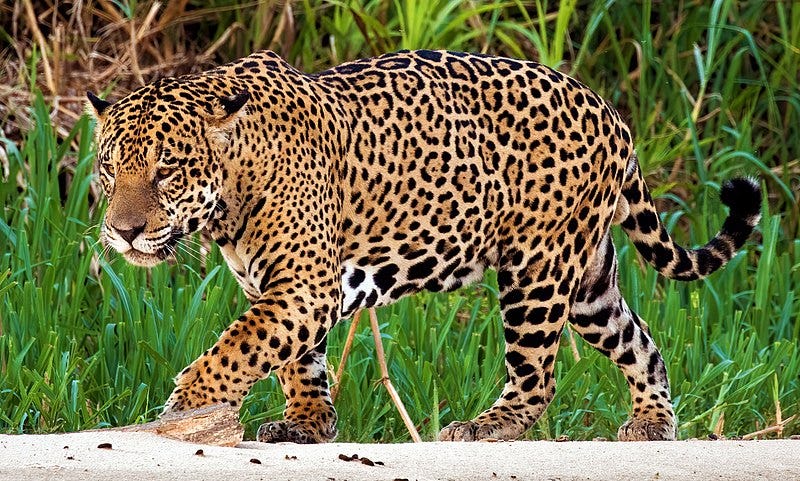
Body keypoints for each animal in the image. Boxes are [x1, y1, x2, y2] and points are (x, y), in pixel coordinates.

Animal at [88, 49, 761, 443]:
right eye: (110, 167)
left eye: (166, 172)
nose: (123, 231)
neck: (230, 193)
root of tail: (610, 112)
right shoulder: (280, 287)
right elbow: (293, 359)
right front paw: (307, 424)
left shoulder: (304, 286)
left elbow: (236, 348)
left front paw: (184, 407)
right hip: (589, 280)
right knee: (640, 342)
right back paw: (651, 423)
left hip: (537, 270)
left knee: (537, 376)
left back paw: (487, 427)